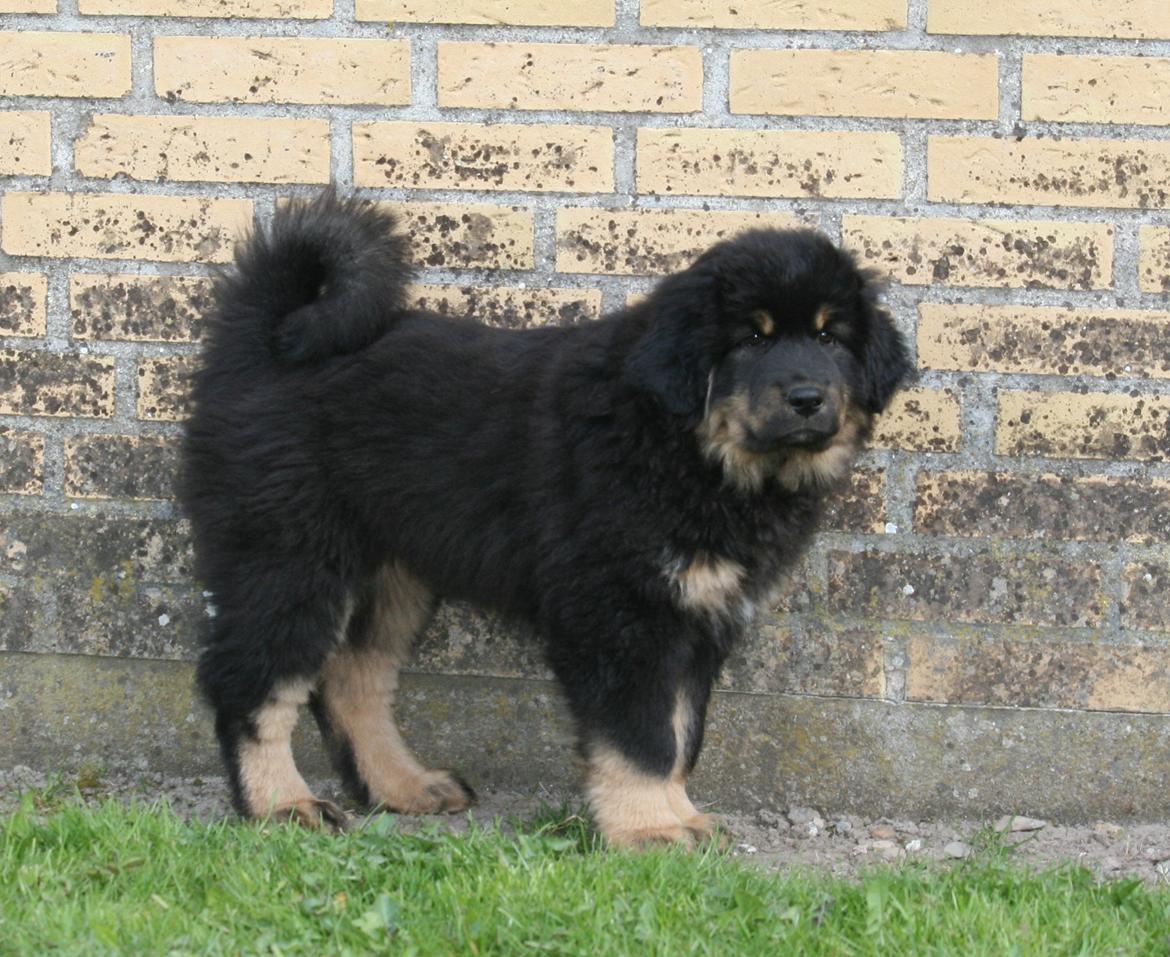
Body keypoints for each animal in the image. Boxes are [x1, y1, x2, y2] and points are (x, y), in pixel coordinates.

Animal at [180, 191, 912, 842]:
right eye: (748, 342)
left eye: (830, 336)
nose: (809, 397)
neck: (686, 449)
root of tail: (265, 343)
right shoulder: (620, 613)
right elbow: (641, 735)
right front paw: (648, 829)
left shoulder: (698, 615)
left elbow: (681, 733)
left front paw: (682, 816)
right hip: (289, 555)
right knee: (250, 681)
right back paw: (280, 805)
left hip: (390, 574)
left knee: (351, 680)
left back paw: (403, 787)